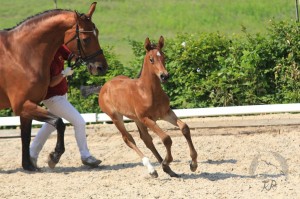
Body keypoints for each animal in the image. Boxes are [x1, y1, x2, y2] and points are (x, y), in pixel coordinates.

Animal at [0, 2, 108, 171]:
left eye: (97, 33)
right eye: (86, 39)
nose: (102, 67)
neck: (20, 54)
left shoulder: (28, 105)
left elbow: (26, 136)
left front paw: (29, 166)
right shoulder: (22, 105)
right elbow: (59, 123)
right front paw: (54, 156)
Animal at [98, 36, 197, 177]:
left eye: (164, 57)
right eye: (151, 59)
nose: (164, 76)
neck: (148, 92)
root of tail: (105, 86)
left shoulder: (166, 113)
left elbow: (184, 128)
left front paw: (193, 164)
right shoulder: (146, 118)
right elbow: (166, 138)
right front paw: (167, 161)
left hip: (136, 119)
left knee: (146, 139)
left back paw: (167, 169)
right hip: (116, 118)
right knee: (128, 139)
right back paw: (152, 169)